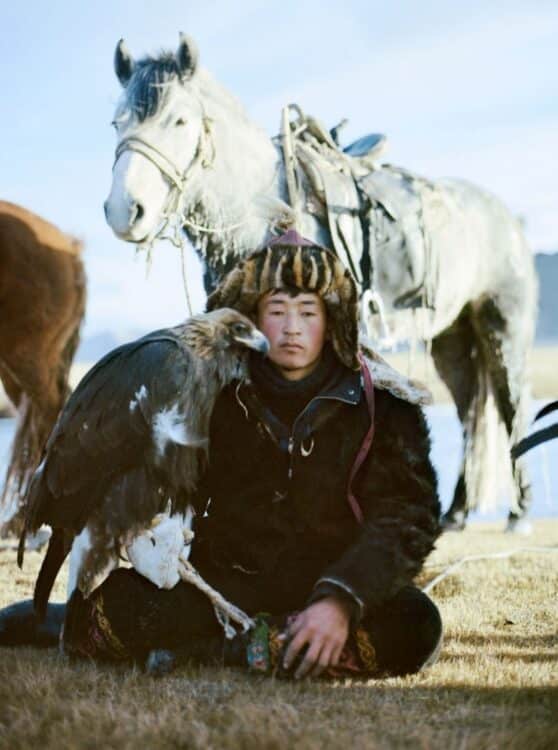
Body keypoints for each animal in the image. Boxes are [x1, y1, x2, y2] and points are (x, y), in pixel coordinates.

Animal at [103, 34, 538, 532]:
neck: (261, 214)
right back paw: (457, 513)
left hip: (504, 327)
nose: (125, 211)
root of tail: (510, 220)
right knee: (469, 412)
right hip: (453, 339)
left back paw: (519, 513)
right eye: (117, 122)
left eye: (179, 119)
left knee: (512, 406)